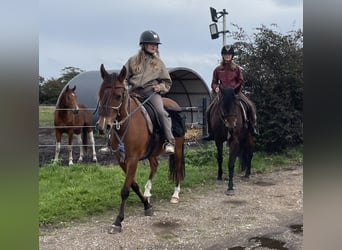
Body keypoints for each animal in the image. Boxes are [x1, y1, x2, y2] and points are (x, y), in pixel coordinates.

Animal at [95, 64, 186, 232]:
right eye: (100, 93)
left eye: (118, 95)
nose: (103, 126)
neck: (126, 124)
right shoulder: (122, 160)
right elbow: (133, 184)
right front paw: (146, 205)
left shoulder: (133, 159)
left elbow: (125, 190)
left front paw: (118, 221)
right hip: (152, 153)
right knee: (155, 166)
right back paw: (148, 191)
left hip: (177, 149)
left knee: (177, 168)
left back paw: (175, 195)